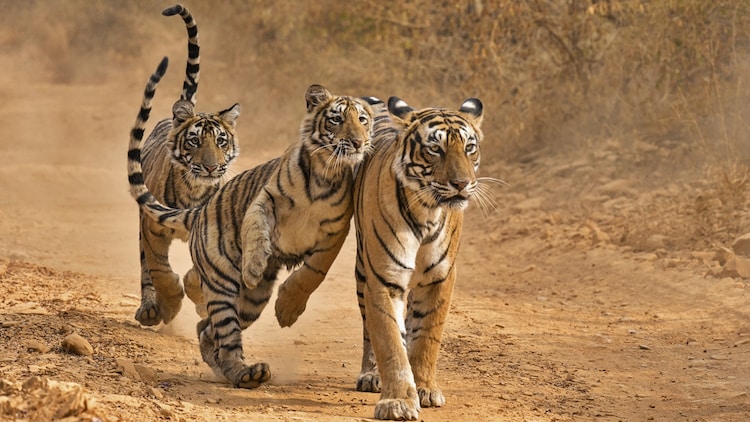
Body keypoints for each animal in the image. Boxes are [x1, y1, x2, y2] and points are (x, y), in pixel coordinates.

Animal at [128, 57, 374, 388]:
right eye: (336, 120)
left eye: (363, 120)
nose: (358, 142)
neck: (325, 173)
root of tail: (200, 211)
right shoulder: (265, 198)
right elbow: (256, 227)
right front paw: (255, 266)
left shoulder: (336, 230)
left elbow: (314, 272)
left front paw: (287, 310)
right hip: (222, 283)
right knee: (223, 331)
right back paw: (245, 372)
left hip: (251, 302)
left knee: (208, 331)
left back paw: (238, 370)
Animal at [133, 4, 241, 327]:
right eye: (195, 141)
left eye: (221, 141)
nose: (210, 168)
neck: (194, 189)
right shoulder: (152, 227)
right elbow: (160, 271)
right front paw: (170, 305)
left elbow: (199, 273)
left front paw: (199, 298)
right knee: (146, 268)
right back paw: (150, 309)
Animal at [275, 95, 487, 420]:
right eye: (435, 149)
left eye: (469, 147)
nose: (462, 184)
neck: (427, 211)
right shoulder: (384, 278)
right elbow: (389, 342)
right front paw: (397, 401)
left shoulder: (439, 279)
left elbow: (427, 337)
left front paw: (425, 388)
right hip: (364, 270)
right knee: (370, 328)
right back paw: (371, 375)